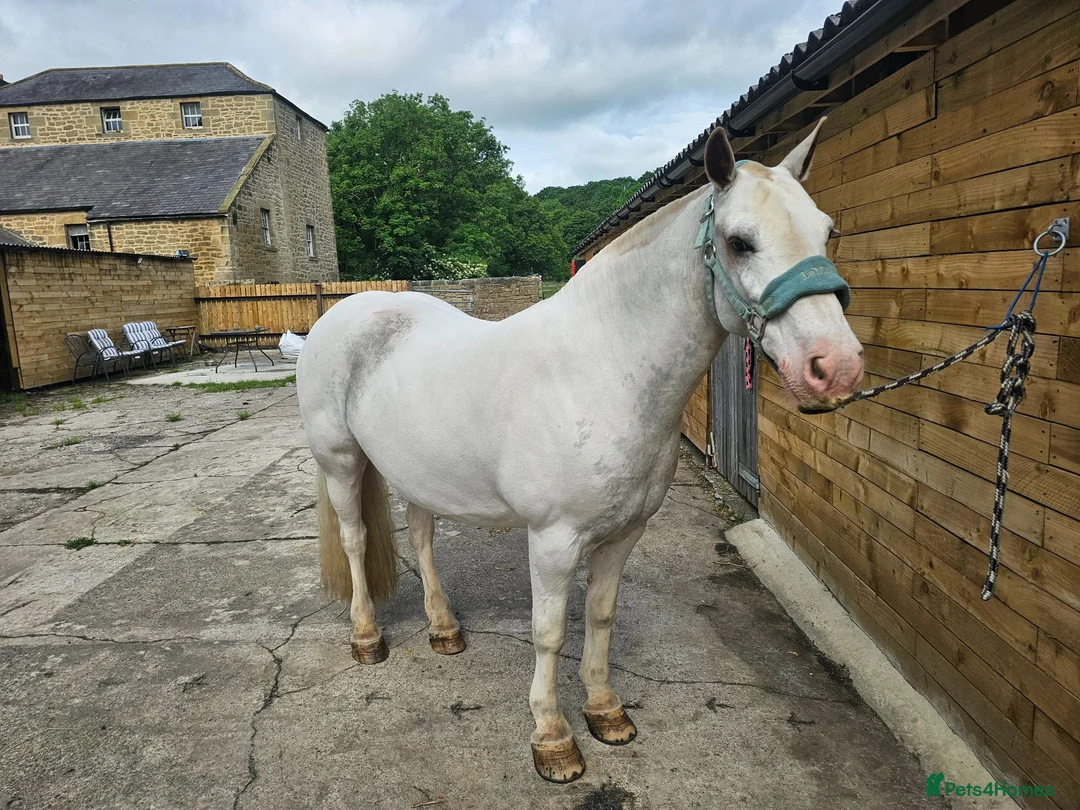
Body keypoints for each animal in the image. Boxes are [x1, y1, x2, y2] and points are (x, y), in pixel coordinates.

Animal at [296, 119, 864, 783]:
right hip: (341, 461)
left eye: (827, 230)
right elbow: (548, 632)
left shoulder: (623, 534)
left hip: (419, 474)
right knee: (356, 539)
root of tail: (341, 313)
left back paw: (444, 630)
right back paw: (366, 637)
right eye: (739, 241)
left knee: (422, 539)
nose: (835, 367)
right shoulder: (553, 540)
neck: (601, 368)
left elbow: (600, 616)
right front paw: (553, 738)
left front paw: (605, 711)